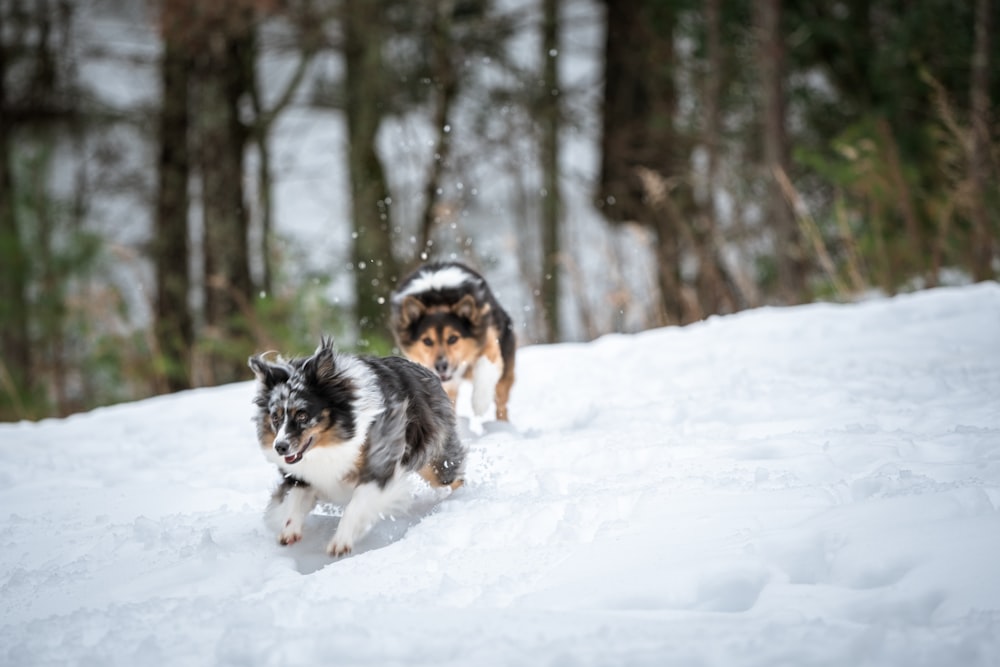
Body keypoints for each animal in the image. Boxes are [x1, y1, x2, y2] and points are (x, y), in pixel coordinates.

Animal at [250, 340, 468, 560]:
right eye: (275, 417)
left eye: (302, 415)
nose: (280, 447)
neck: (332, 442)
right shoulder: (303, 475)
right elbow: (294, 499)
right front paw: (289, 530)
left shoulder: (381, 464)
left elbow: (355, 506)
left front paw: (340, 542)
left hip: (436, 460)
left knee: (452, 476)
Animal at [390, 262, 516, 422]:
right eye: (427, 341)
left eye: (453, 339)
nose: (440, 366)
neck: (437, 298)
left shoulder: (487, 337)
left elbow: (485, 365)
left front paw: (480, 403)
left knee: (501, 402)